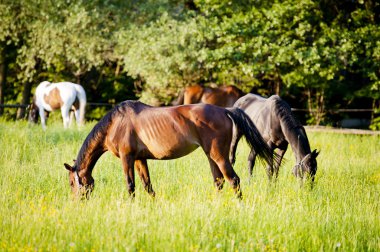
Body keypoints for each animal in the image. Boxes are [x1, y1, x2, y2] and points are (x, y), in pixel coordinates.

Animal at [64, 100, 274, 199]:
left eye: (72, 183)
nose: (77, 201)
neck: (115, 123)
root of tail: (225, 110)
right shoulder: (140, 159)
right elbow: (147, 185)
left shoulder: (127, 158)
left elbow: (131, 185)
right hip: (211, 156)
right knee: (219, 181)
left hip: (219, 155)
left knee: (233, 180)